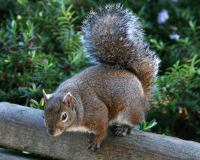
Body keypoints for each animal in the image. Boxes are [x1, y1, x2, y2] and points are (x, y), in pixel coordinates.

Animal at [42, 4, 161, 151]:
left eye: (64, 116)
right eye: (43, 115)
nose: (51, 132)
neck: (79, 104)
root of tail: (143, 94)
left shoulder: (97, 112)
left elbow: (102, 128)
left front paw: (96, 140)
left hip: (129, 110)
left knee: (134, 122)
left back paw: (124, 128)